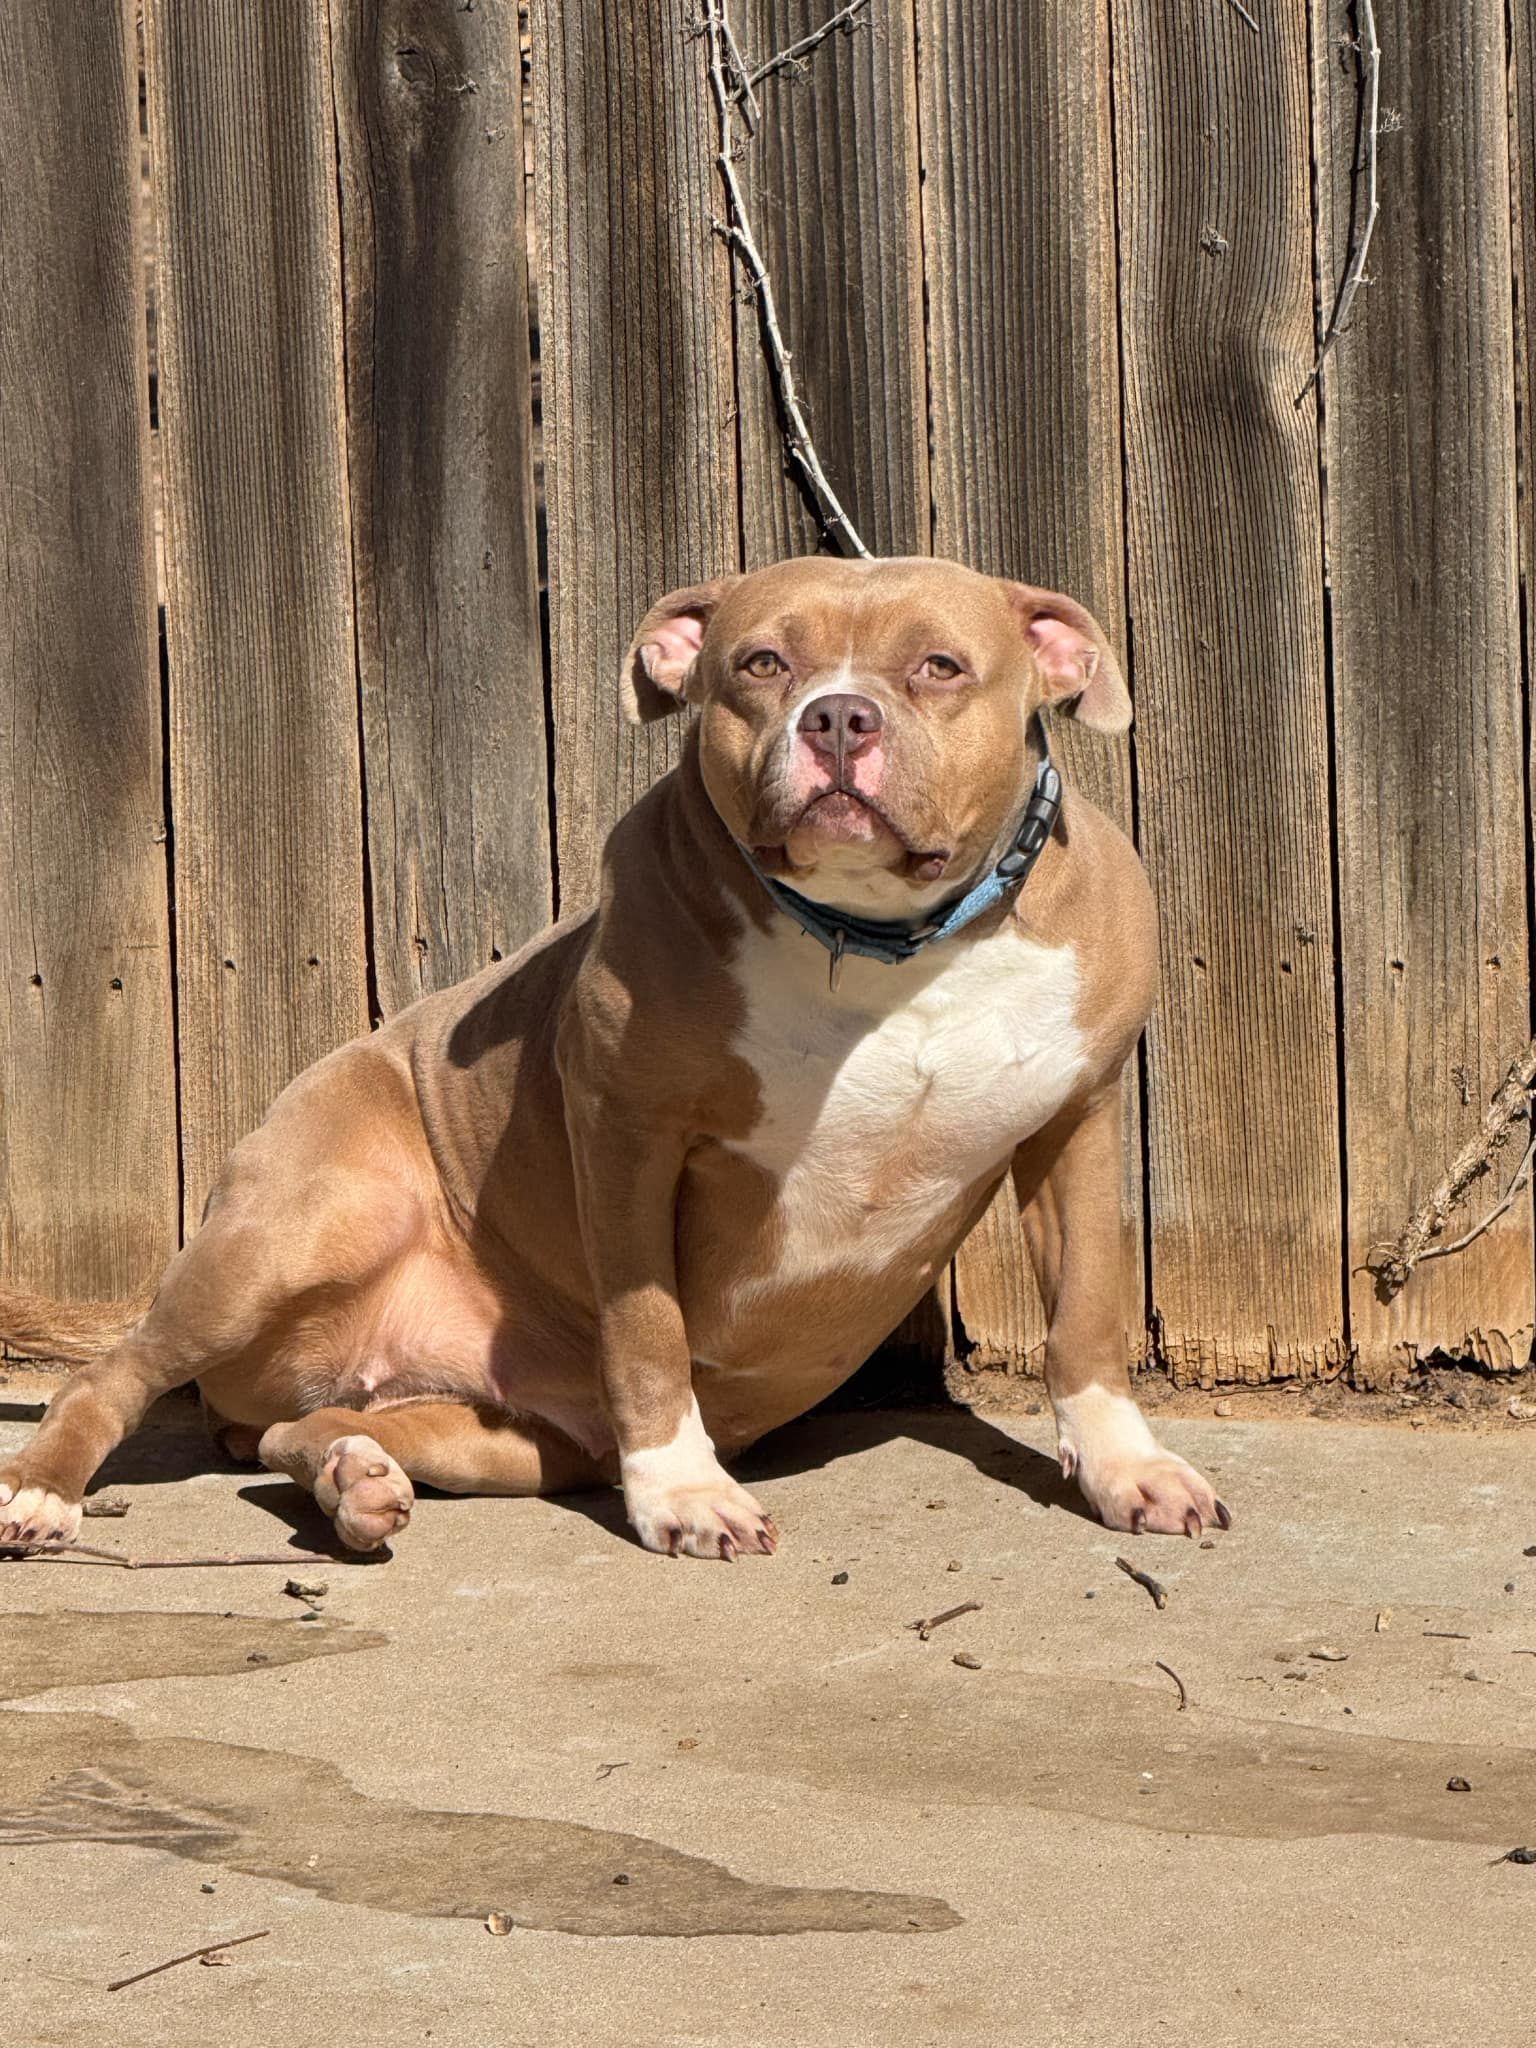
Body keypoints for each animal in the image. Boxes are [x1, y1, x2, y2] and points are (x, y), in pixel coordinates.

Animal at [0, 561, 1228, 1548]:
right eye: (761, 661)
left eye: (938, 665)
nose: (837, 717)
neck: (884, 944)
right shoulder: (629, 1134)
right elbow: (649, 1332)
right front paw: (683, 1491)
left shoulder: (1078, 1120)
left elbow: (1088, 1314)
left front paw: (1127, 1471)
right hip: (297, 1226)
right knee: (108, 1376)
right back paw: (42, 1493)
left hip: (501, 1439)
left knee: (299, 1432)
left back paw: (356, 1480)